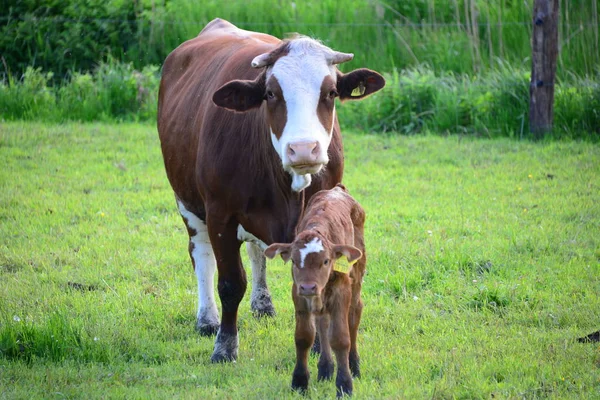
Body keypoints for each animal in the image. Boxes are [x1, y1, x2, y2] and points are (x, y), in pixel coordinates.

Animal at [156, 18, 384, 362]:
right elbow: (230, 283)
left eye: (331, 92)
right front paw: (225, 346)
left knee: (256, 252)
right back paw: (206, 318)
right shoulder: (221, 214)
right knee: (201, 253)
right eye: (271, 93)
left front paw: (320, 347)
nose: (303, 149)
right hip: (187, 202)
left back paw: (262, 303)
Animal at [266, 185, 366, 396]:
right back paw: (325, 368)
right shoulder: (298, 294)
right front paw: (300, 381)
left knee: (354, 313)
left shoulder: (341, 290)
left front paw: (345, 385)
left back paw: (354, 365)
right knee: (322, 322)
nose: (309, 286)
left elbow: (340, 338)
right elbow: (304, 337)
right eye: (294, 261)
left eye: (326, 261)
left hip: (356, 275)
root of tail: (338, 189)